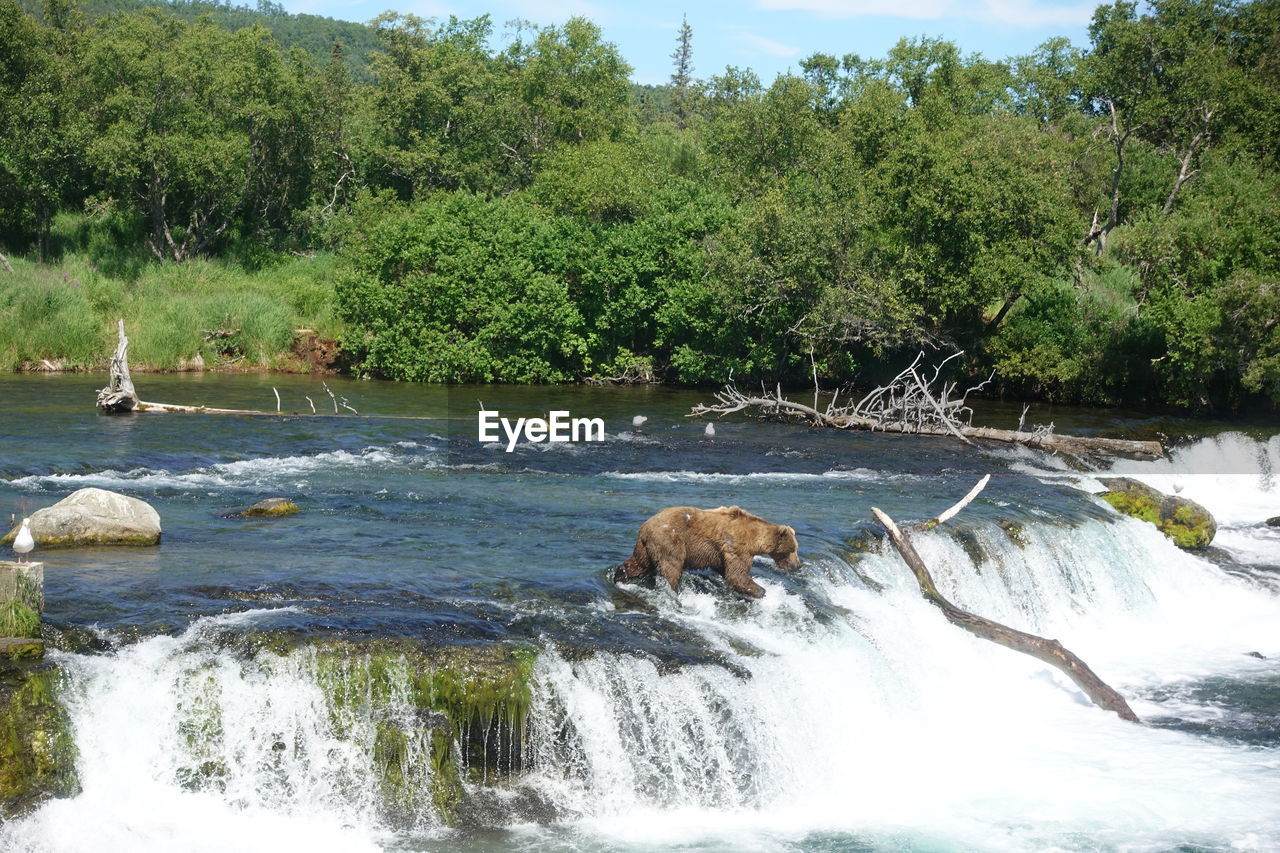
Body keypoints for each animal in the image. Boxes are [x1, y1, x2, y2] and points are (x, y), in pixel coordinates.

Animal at [611, 504, 798, 596]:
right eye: (793, 549)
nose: (797, 565)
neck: (755, 537)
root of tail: (645, 526)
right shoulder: (736, 546)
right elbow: (737, 574)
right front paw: (761, 590)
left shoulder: (721, 553)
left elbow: (726, 570)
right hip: (670, 540)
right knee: (671, 566)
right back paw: (673, 590)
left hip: (646, 546)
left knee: (639, 563)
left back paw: (620, 574)